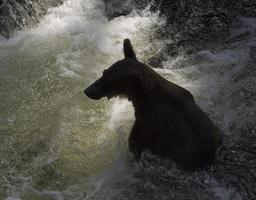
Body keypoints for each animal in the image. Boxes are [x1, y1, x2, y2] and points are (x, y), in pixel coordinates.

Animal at [84, 38, 222, 170]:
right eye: (104, 72)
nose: (87, 91)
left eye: (111, 82)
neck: (145, 98)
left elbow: (135, 144)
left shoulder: (147, 125)